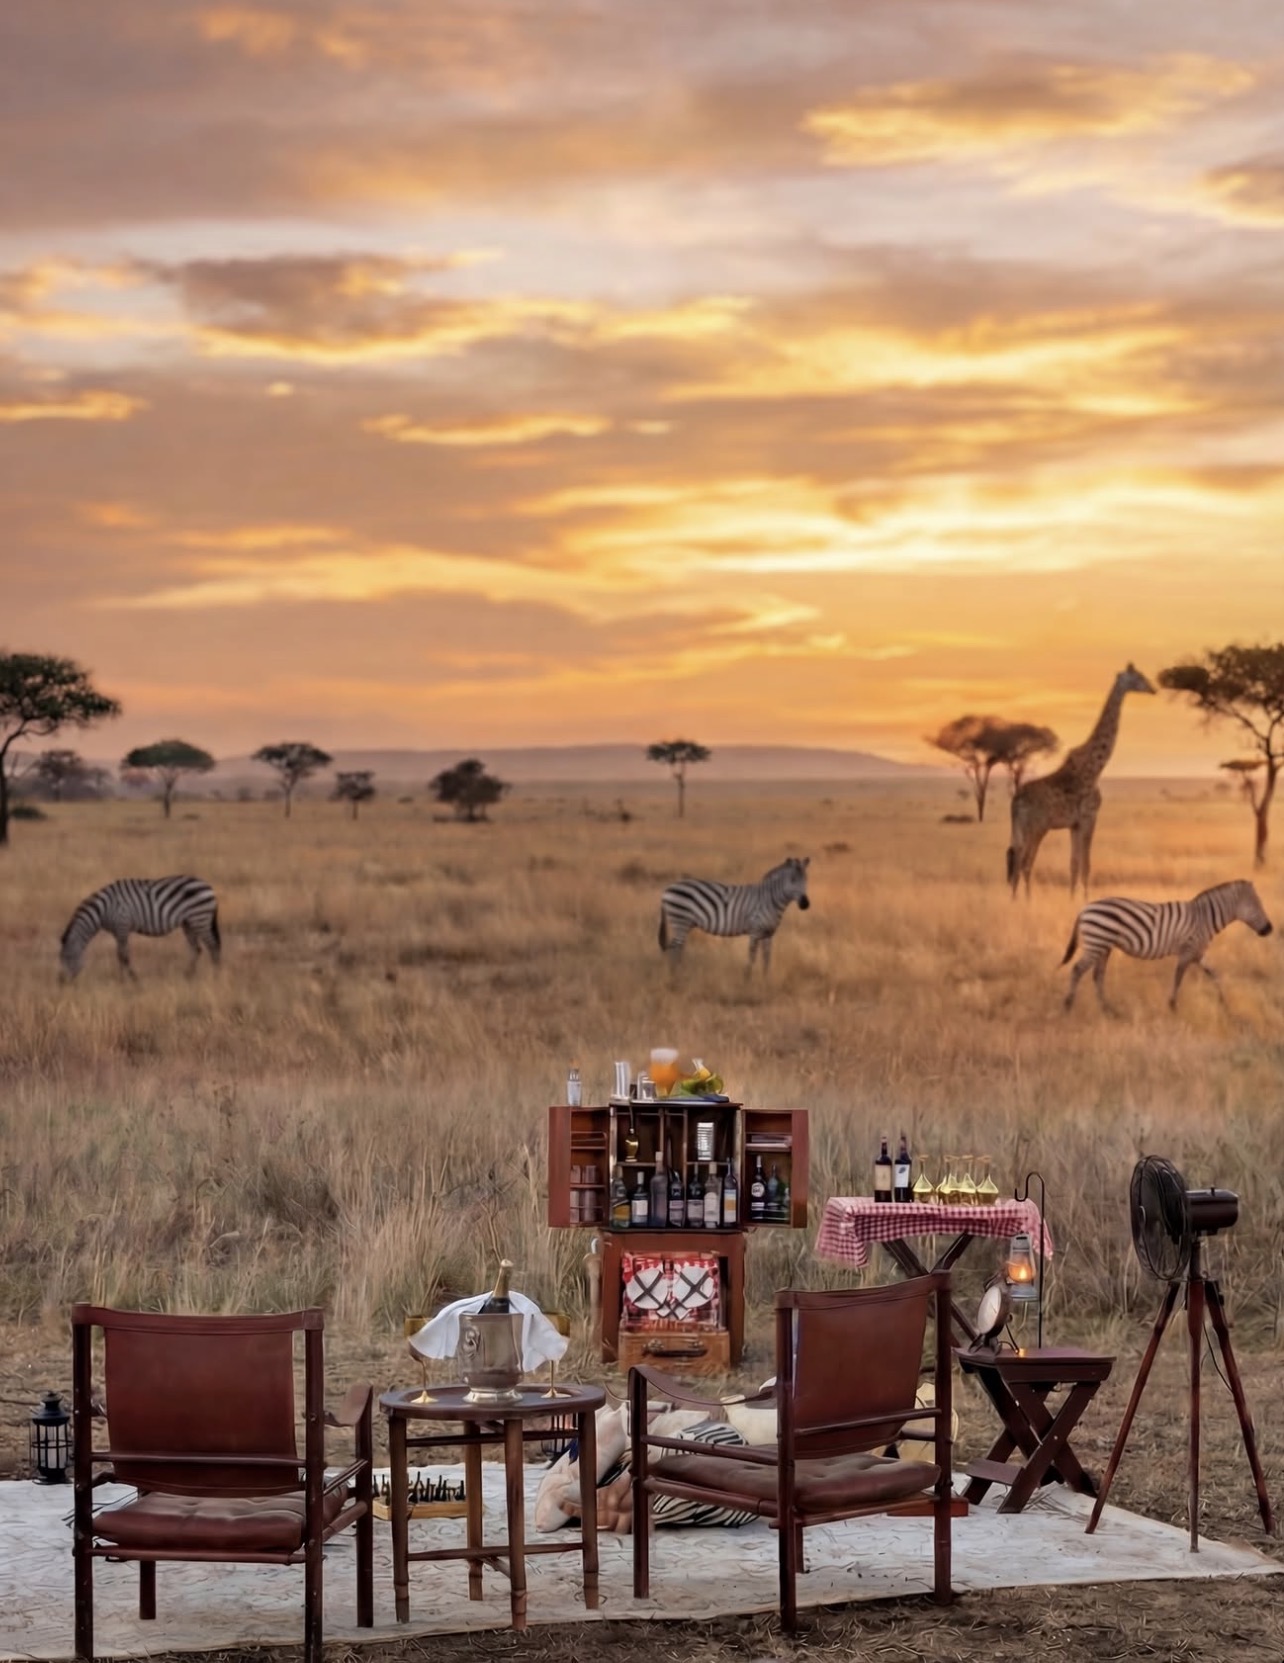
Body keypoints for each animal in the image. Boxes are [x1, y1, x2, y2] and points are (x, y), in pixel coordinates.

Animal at [59, 876, 221, 981]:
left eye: (67, 958)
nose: (62, 983)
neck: (102, 911)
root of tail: (208, 886)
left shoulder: (122, 925)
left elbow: (123, 955)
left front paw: (130, 979)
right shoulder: (117, 932)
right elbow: (120, 955)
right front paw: (122, 979)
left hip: (199, 918)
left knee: (213, 946)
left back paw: (216, 975)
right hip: (189, 923)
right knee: (196, 949)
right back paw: (188, 975)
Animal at [658, 857, 810, 974]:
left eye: (806, 880)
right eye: (792, 880)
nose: (805, 904)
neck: (770, 900)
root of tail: (668, 888)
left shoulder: (769, 934)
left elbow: (767, 959)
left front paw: (766, 981)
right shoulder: (755, 931)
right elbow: (752, 957)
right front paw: (747, 980)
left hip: (684, 923)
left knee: (675, 948)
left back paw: (678, 973)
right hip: (680, 920)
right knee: (675, 948)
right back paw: (677, 975)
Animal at [1006, 663, 1155, 899]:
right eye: (1138, 677)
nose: (1153, 688)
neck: (1095, 767)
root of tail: (1016, 800)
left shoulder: (1074, 824)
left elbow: (1074, 864)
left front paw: (1072, 898)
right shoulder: (1089, 818)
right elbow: (1086, 865)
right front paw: (1085, 899)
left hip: (1022, 828)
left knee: (1016, 861)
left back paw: (1014, 902)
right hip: (1038, 826)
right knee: (1025, 863)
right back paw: (1026, 902)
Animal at [1060, 879, 1272, 1014]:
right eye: (1257, 906)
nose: (1269, 929)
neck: (1204, 918)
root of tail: (1084, 909)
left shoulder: (1198, 952)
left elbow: (1214, 973)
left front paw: (1224, 1004)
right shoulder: (1188, 949)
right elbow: (1178, 977)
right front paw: (1173, 1005)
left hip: (1104, 946)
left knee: (1097, 975)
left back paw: (1107, 1009)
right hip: (1097, 942)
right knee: (1077, 969)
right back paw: (1068, 1006)